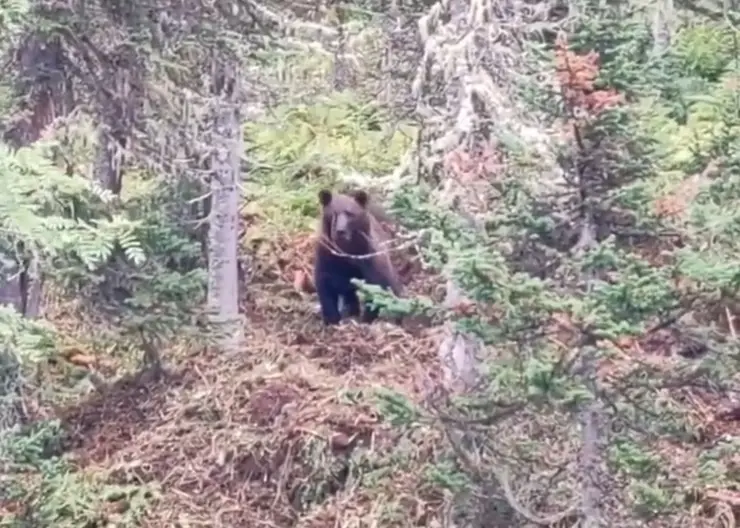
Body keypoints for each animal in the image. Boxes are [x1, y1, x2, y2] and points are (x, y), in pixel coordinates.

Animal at [314, 188, 403, 325]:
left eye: (350, 213)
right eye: (333, 213)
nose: (340, 231)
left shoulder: (369, 258)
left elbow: (377, 285)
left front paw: (367, 318)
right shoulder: (327, 257)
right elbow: (325, 286)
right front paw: (332, 318)